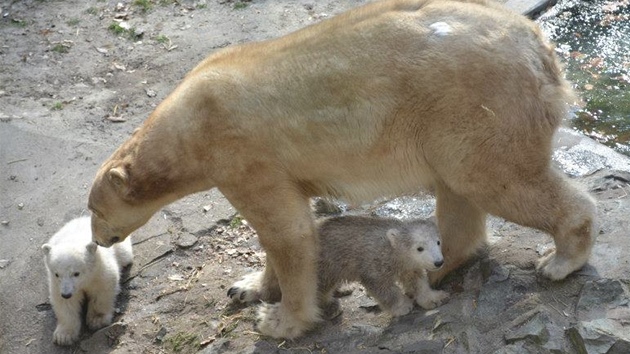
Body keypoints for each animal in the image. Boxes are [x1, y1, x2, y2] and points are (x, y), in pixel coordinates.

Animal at [87, 0, 596, 338]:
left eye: (94, 210)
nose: (97, 240)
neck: (189, 122)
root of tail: (539, 45)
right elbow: (285, 231)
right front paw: (247, 287)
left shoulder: (242, 150)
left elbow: (288, 233)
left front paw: (281, 320)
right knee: (458, 192)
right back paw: (432, 269)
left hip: (476, 105)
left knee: (496, 180)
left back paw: (559, 260)